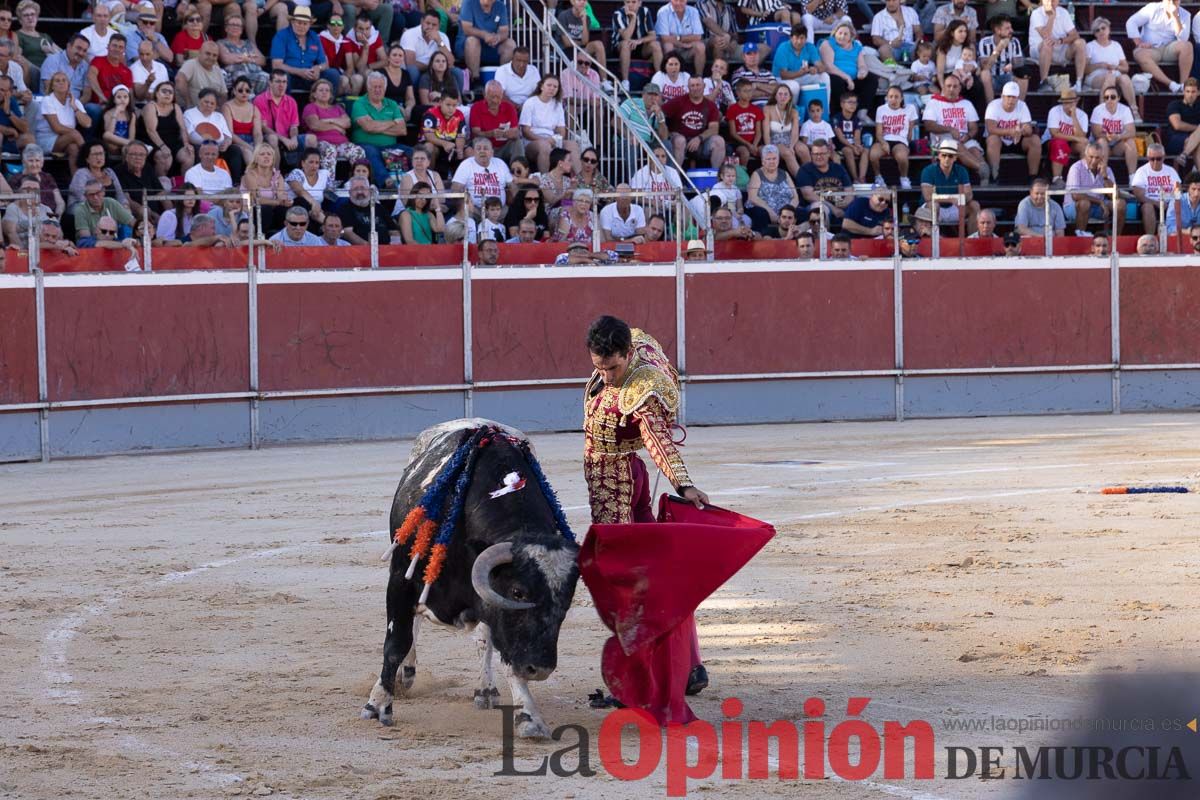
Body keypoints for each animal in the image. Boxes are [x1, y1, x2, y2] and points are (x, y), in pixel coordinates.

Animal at [357, 422, 578, 743]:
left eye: (566, 600)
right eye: (517, 592)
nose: (540, 668)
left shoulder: (498, 617)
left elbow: (504, 653)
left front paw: (529, 716)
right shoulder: (400, 580)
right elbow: (396, 642)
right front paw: (378, 704)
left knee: (483, 642)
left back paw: (485, 689)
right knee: (413, 627)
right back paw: (405, 674)